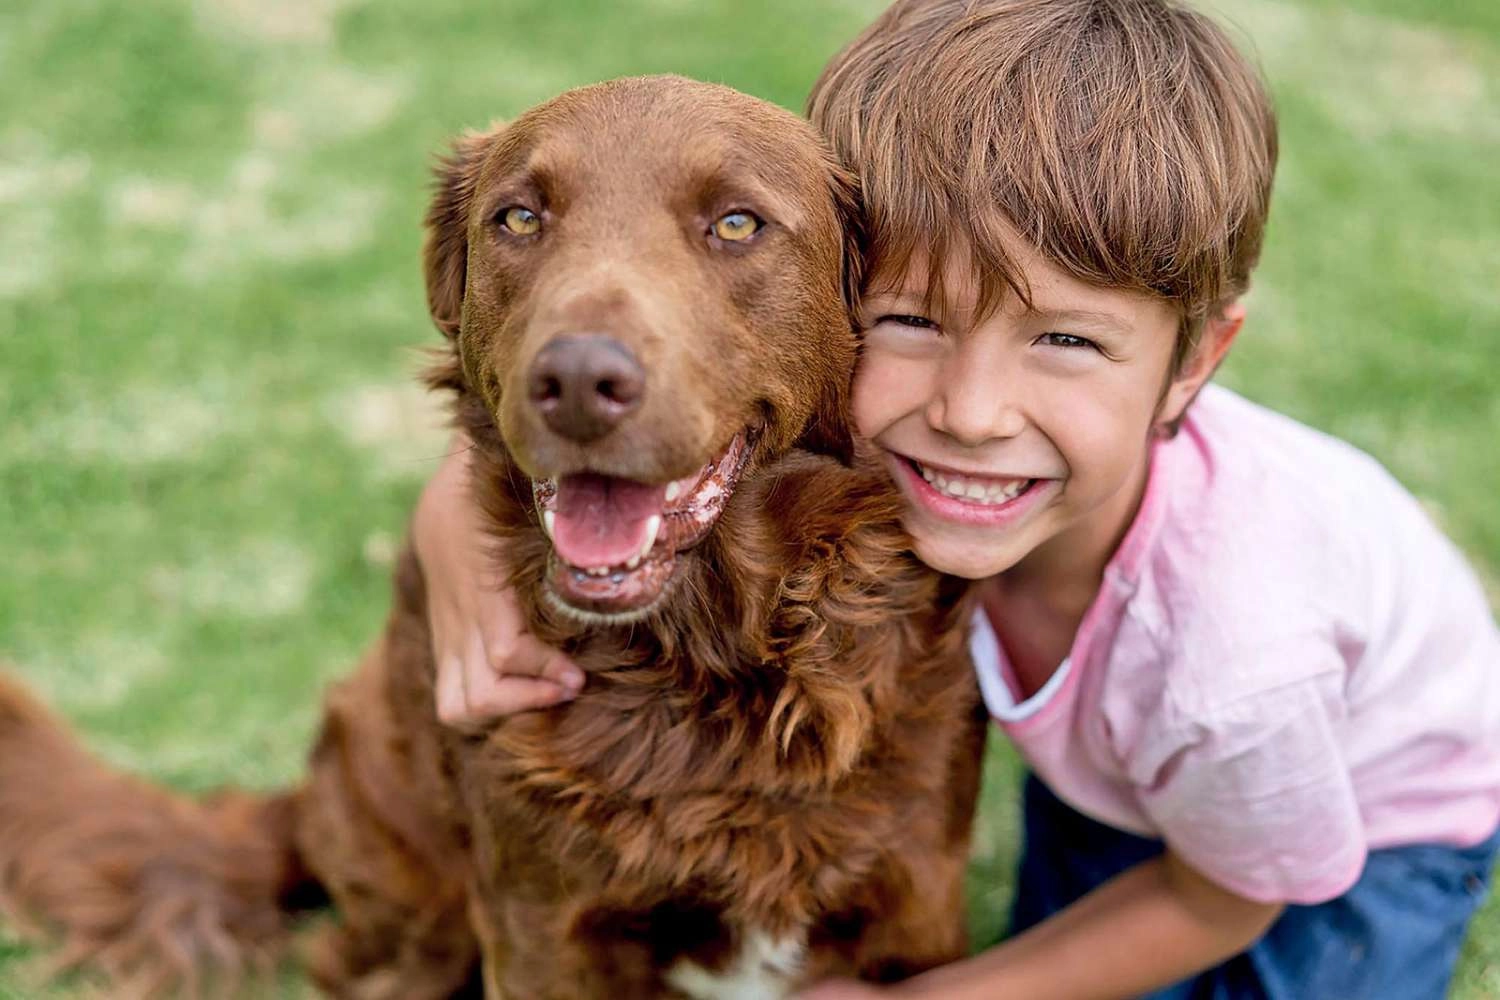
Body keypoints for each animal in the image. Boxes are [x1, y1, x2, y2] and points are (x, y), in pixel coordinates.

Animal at [0, 74, 984, 995]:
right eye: (520, 217)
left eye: (737, 223)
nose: (579, 381)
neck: (710, 675)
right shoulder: (540, 926)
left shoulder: (918, 908)